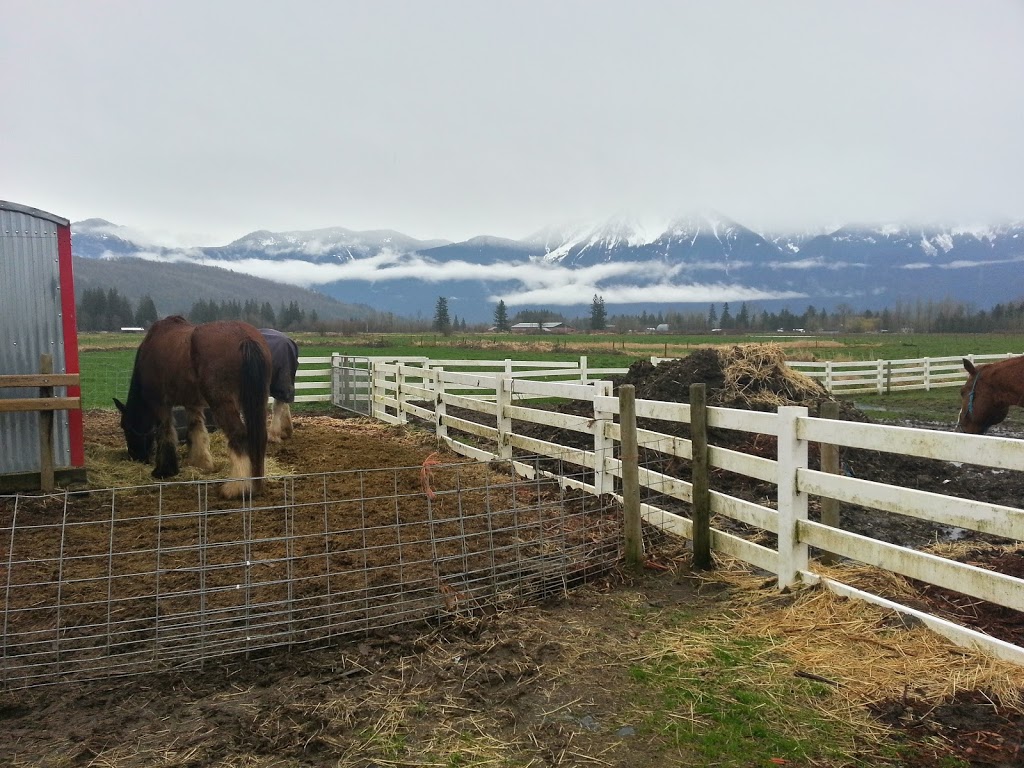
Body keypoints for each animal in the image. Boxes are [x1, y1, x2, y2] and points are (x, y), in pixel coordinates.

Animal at [114, 317, 272, 499]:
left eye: (125, 427)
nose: (135, 456)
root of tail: (244, 337)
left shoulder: (160, 404)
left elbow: (165, 433)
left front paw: (164, 470)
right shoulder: (192, 403)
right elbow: (196, 430)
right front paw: (201, 462)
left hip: (222, 402)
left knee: (239, 435)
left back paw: (237, 488)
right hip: (258, 400)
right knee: (259, 436)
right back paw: (255, 484)